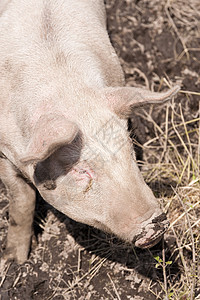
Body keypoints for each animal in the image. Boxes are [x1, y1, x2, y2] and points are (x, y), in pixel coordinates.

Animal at [0, 0, 179, 264]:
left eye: (130, 153)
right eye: (81, 170)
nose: (154, 224)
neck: (66, 89)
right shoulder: (4, 152)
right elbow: (22, 201)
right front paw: (13, 262)